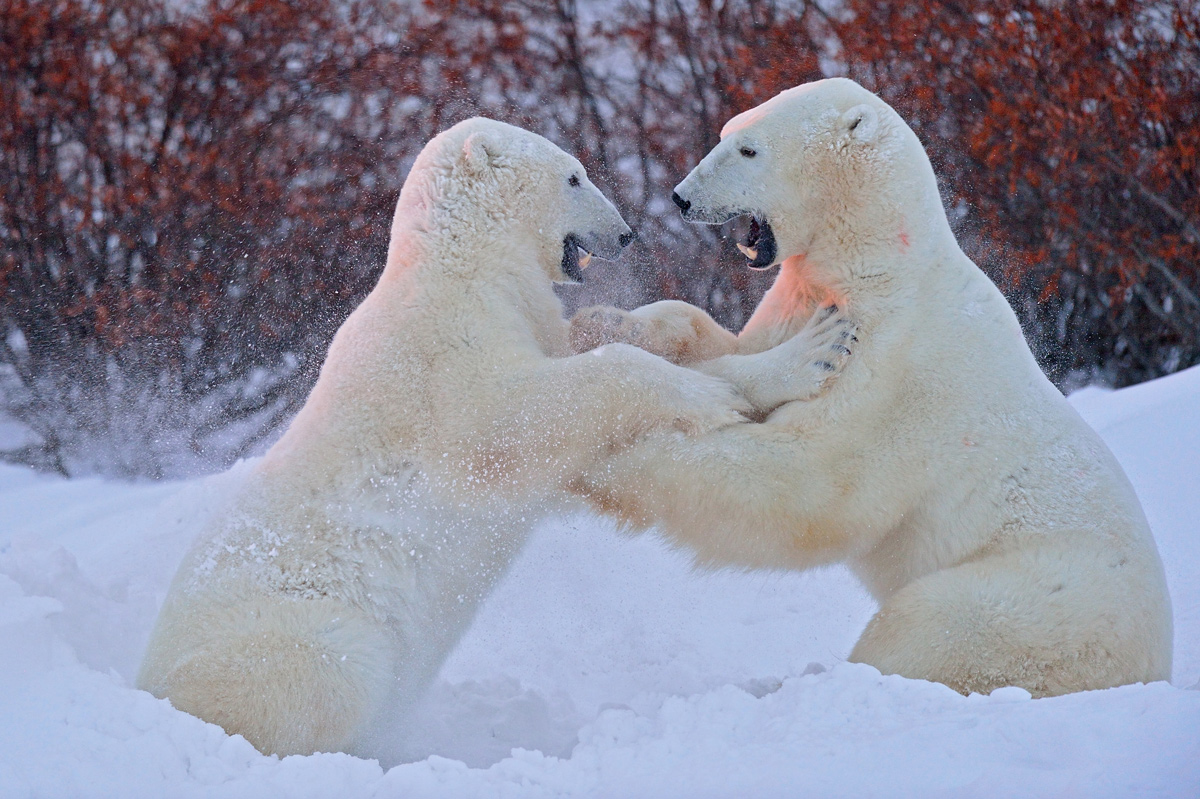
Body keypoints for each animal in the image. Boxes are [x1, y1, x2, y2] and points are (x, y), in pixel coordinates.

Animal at [138, 115, 758, 758]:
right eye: (574, 175)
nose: (627, 234)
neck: (461, 269)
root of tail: (151, 687)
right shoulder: (440, 358)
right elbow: (511, 420)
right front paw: (713, 397)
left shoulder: (517, 317)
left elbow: (573, 341)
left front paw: (640, 325)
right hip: (295, 631)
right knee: (325, 673)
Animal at [568, 77, 1171, 695]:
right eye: (726, 132)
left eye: (749, 149)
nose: (681, 197)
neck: (880, 264)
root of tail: (1155, 662)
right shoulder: (800, 300)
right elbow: (731, 347)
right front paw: (610, 324)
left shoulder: (892, 364)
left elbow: (807, 479)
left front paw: (613, 460)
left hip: (1033, 602)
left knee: (929, 625)